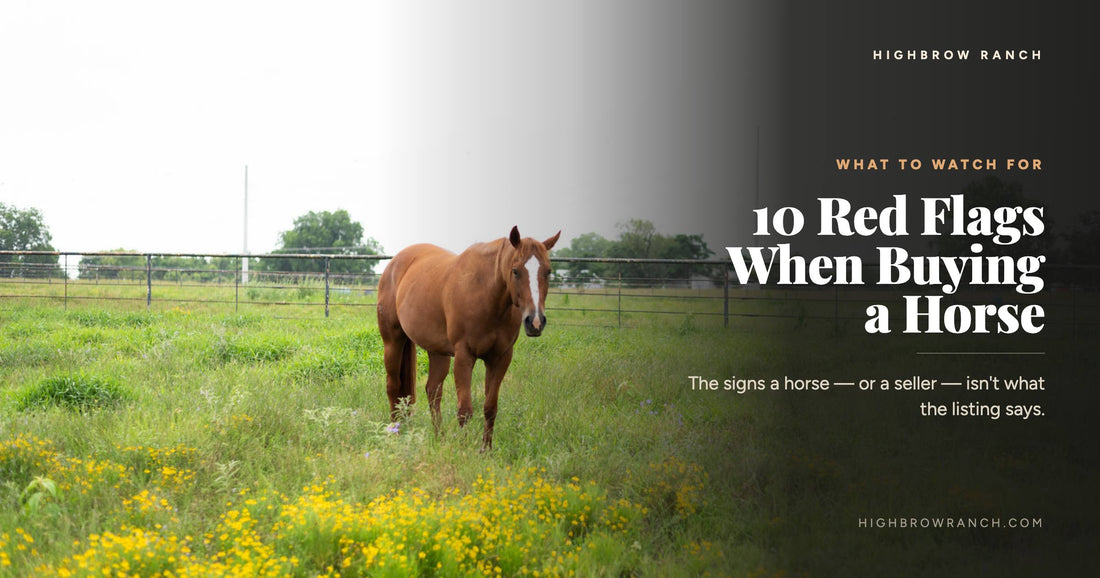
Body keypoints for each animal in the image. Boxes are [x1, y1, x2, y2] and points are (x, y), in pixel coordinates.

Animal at [376, 226, 560, 450]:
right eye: (516, 271)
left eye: (548, 271)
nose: (535, 321)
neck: (487, 294)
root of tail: (394, 263)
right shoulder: (464, 356)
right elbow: (465, 410)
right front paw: (464, 450)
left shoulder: (500, 358)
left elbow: (490, 408)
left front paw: (485, 450)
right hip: (393, 341)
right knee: (393, 387)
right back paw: (395, 434)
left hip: (437, 352)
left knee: (432, 391)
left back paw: (439, 438)